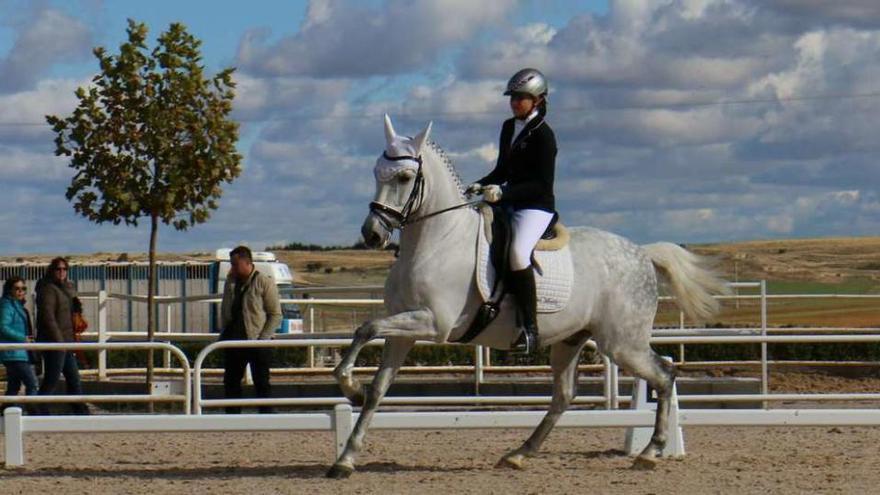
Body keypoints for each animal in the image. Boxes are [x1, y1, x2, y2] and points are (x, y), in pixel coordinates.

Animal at [324, 116, 728, 480]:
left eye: (405, 178)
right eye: (376, 172)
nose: (372, 234)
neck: (436, 241)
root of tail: (642, 253)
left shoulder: (433, 323)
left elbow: (365, 327)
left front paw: (350, 389)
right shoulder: (403, 330)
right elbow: (377, 384)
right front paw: (346, 453)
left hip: (622, 343)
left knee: (664, 374)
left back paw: (650, 451)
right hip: (571, 340)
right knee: (564, 396)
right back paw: (519, 453)